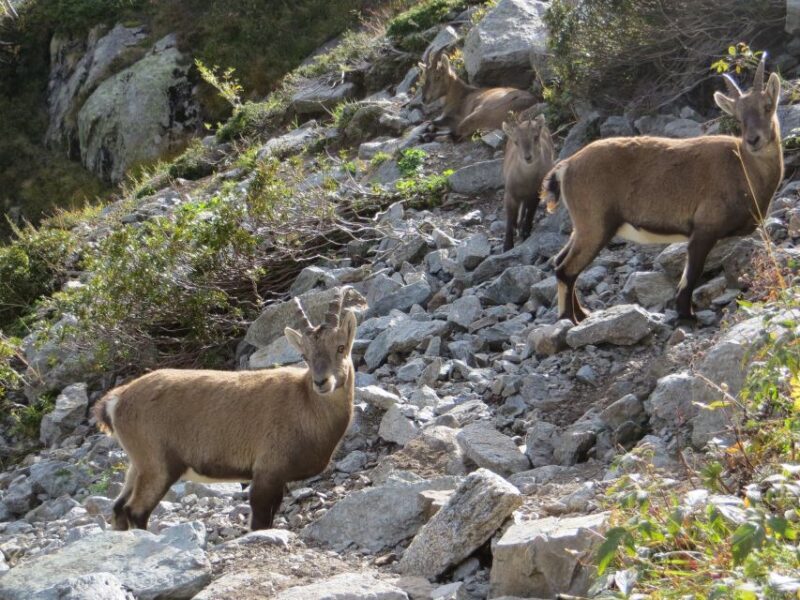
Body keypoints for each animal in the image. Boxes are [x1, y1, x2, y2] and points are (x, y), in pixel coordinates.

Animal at [93, 287, 364, 531]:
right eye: (305, 355)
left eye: (341, 347)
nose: (321, 382)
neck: (305, 403)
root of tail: (117, 399)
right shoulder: (267, 472)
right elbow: (259, 523)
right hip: (157, 466)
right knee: (135, 510)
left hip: (137, 465)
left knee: (118, 507)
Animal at [502, 111, 555, 251]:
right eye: (516, 142)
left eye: (535, 137)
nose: (528, 157)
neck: (526, 180)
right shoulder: (510, 194)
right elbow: (509, 219)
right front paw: (507, 245)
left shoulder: (536, 193)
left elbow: (530, 213)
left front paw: (525, 233)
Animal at [541, 57, 783, 323]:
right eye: (738, 116)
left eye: (768, 106)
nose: (753, 140)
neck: (743, 168)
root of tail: (567, 166)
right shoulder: (704, 230)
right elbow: (691, 274)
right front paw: (687, 315)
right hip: (595, 225)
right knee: (566, 269)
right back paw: (568, 319)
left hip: (584, 227)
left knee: (561, 261)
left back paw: (583, 314)